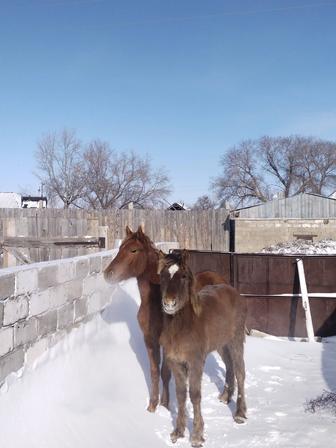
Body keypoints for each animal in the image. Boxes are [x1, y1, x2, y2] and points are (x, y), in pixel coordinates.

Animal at [103, 228, 227, 412]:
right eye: (120, 248)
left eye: (133, 250)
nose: (107, 274)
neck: (155, 300)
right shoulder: (149, 340)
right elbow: (154, 371)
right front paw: (152, 405)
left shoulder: (168, 343)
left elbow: (165, 373)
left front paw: (165, 404)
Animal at [158, 250, 247, 446]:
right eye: (163, 276)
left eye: (183, 276)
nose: (169, 304)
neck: (183, 327)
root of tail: (233, 291)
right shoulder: (175, 362)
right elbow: (181, 394)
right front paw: (178, 432)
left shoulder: (196, 362)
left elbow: (195, 394)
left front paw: (197, 436)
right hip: (221, 344)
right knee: (229, 365)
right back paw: (225, 396)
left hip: (236, 341)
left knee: (240, 372)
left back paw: (240, 413)